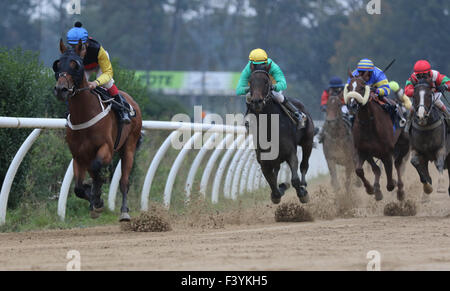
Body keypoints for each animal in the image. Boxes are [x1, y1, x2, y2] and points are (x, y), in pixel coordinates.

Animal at [53, 39, 143, 221]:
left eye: (75, 65)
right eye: (58, 64)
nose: (61, 89)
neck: (84, 115)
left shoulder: (106, 149)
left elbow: (96, 168)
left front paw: (97, 197)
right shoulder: (78, 156)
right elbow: (78, 188)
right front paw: (94, 199)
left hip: (129, 147)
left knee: (124, 181)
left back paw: (124, 211)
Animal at [244, 63, 314, 205]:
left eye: (266, 81)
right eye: (250, 81)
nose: (256, 101)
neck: (269, 127)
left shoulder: (291, 153)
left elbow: (295, 179)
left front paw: (302, 193)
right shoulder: (264, 161)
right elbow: (272, 184)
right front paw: (281, 188)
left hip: (307, 142)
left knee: (304, 165)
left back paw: (304, 185)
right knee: (276, 171)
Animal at [342, 72, 410, 202]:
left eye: (362, 87)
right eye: (349, 88)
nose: (352, 105)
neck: (368, 124)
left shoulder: (386, 152)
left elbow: (389, 180)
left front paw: (391, 184)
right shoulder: (363, 151)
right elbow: (360, 170)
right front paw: (372, 189)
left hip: (404, 143)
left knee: (398, 164)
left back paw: (400, 190)